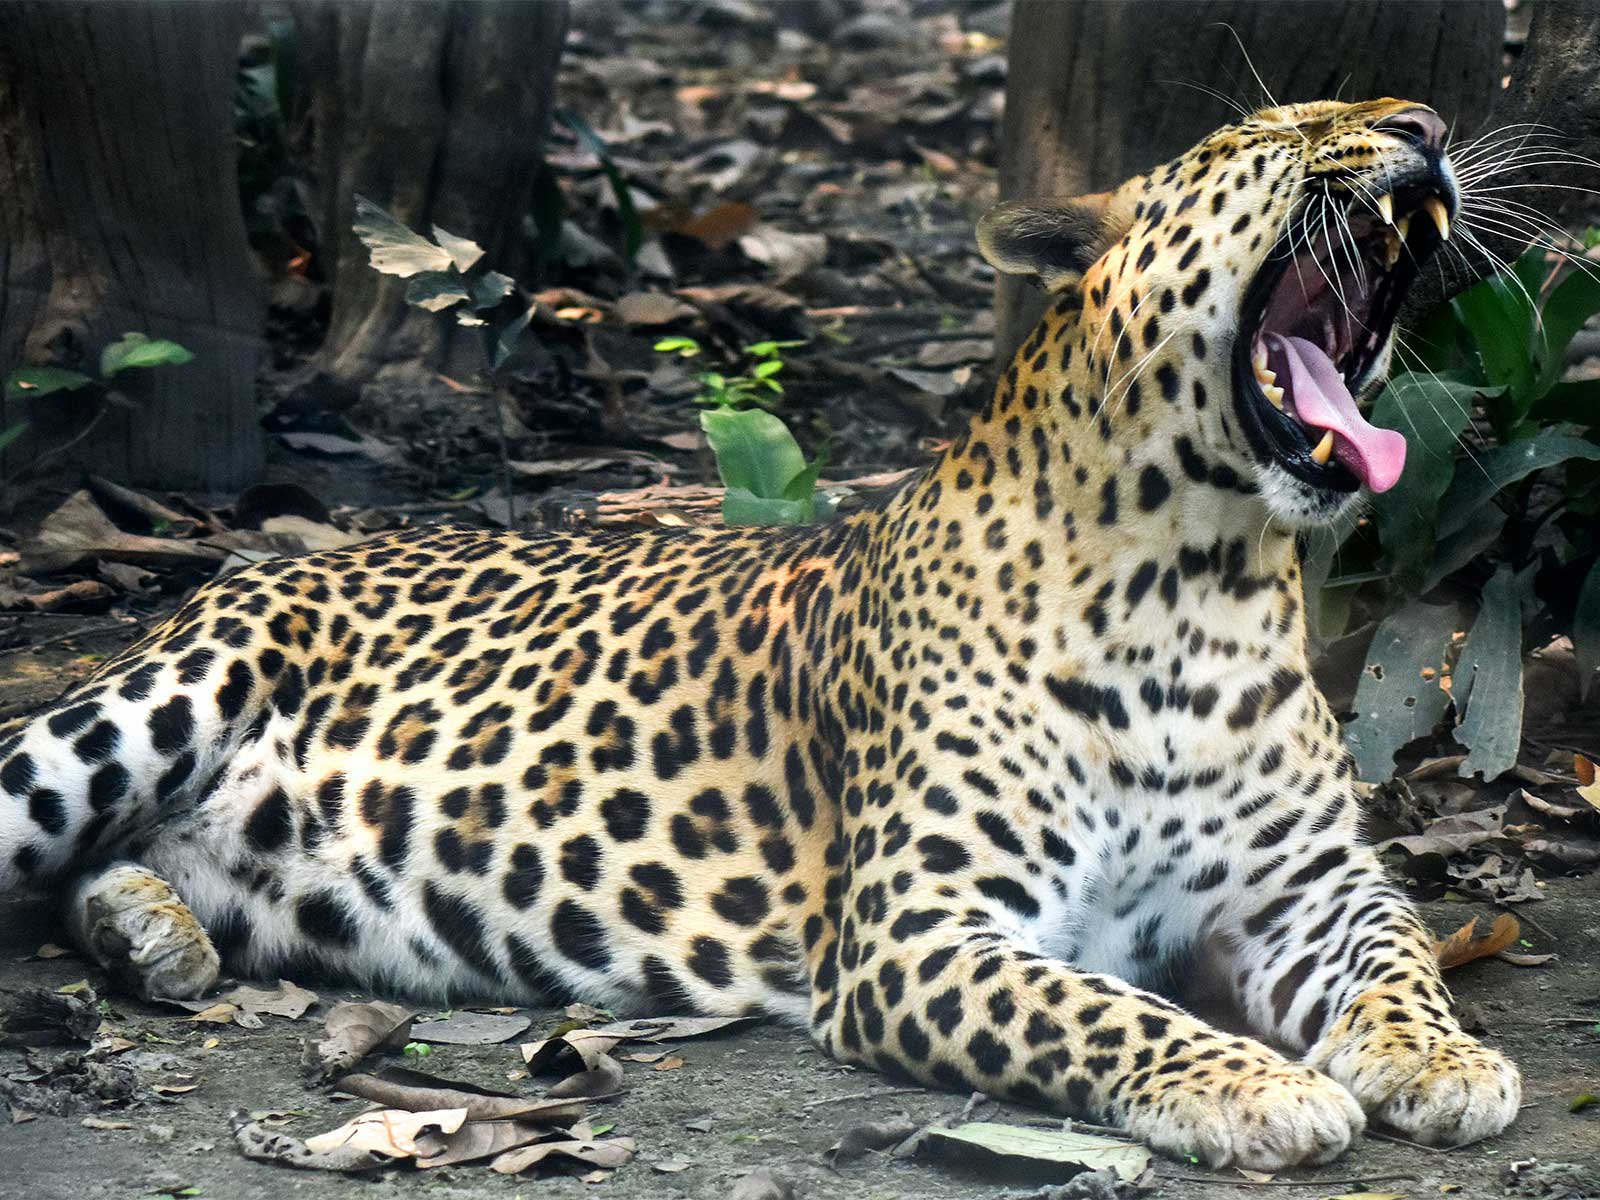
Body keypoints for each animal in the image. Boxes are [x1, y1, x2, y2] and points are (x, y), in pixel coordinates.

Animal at [0, 98, 1521, 1171]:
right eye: (1262, 136)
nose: (1429, 128)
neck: (1194, 585)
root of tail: (266, 562)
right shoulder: (923, 931)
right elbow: (1110, 1009)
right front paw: (1255, 1083)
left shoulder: (1307, 889)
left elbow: (1399, 956)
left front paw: (1439, 1062)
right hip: (137, 713)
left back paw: (149, 932)